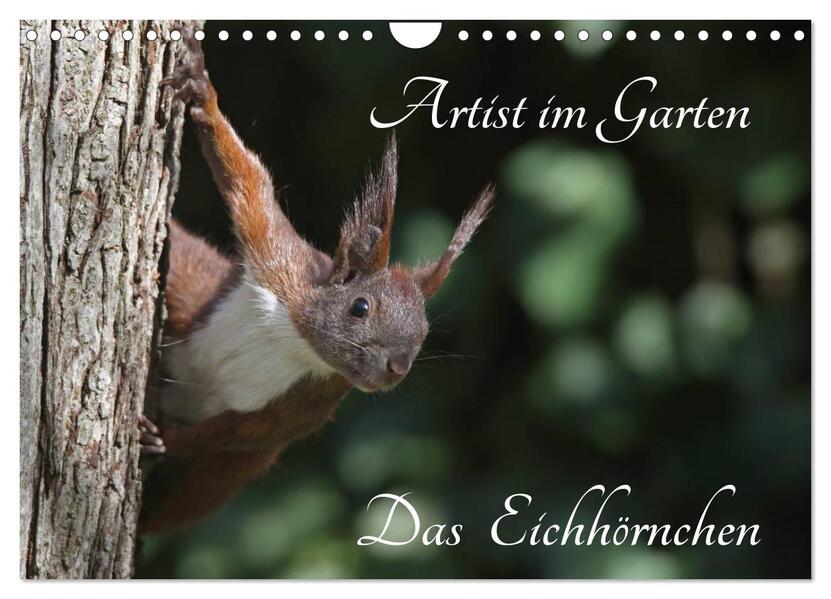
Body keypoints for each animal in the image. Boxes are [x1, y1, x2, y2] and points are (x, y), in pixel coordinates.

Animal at [137, 38, 494, 534]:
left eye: (424, 334)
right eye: (360, 308)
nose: (397, 368)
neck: (297, 340)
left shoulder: (303, 407)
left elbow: (236, 432)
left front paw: (165, 442)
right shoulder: (278, 259)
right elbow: (247, 182)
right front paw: (200, 90)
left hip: (222, 478)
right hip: (195, 289)